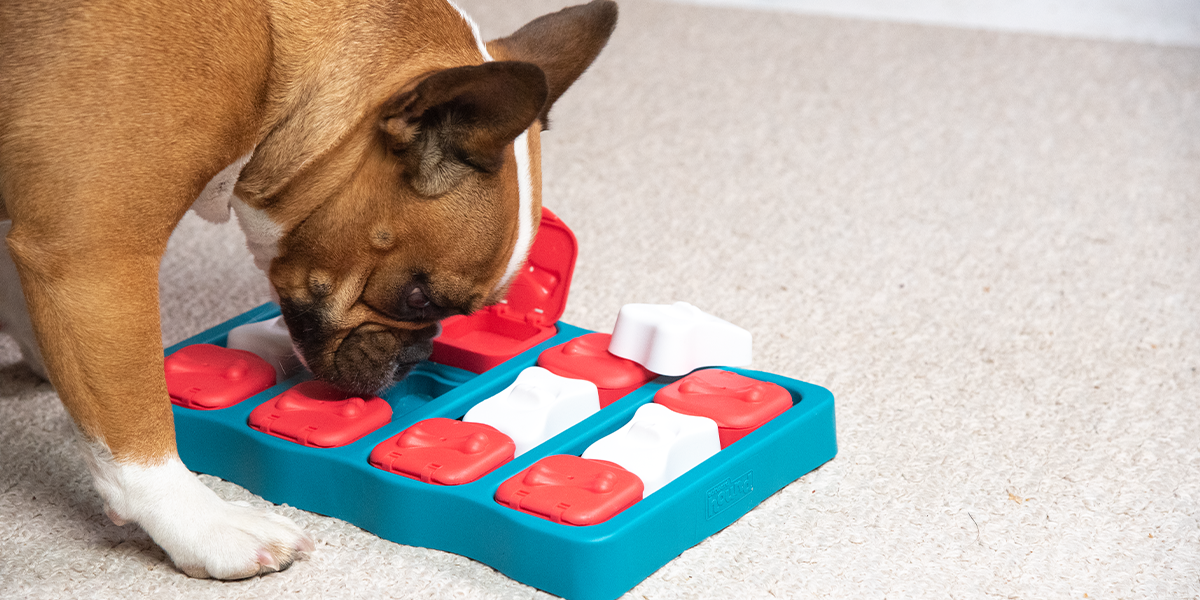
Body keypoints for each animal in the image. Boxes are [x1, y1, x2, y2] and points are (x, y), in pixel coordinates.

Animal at [0, 0, 614, 580]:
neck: (273, 68)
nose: (416, 357)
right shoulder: (93, 256)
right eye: (418, 299)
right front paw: (201, 524)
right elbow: (134, 421)